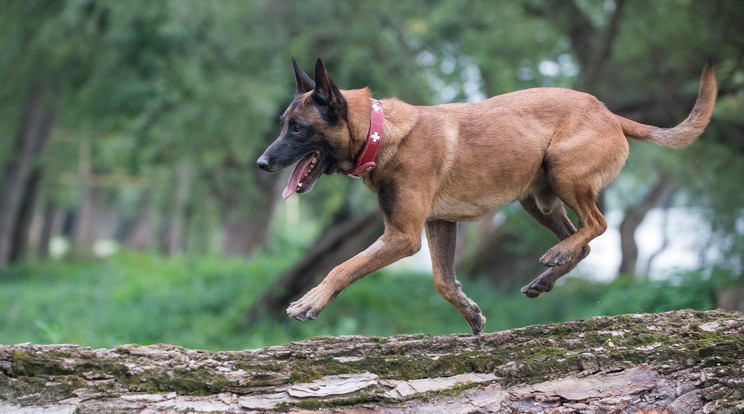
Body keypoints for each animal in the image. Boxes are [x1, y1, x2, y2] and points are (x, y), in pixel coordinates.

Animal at [256, 57, 716, 334]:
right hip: (538, 199)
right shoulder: (439, 225)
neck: (380, 132)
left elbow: (343, 266)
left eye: (298, 129)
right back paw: (549, 273)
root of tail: (610, 113)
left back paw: (556, 255)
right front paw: (469, 311)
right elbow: (443, 281)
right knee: (583, 242)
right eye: (283, 124)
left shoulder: (402, 236)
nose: (261, 163)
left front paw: (310, 301)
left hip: (564, 171)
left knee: (597, 224)